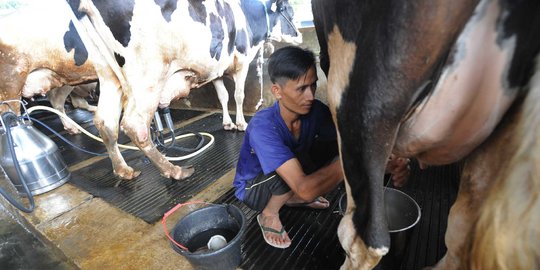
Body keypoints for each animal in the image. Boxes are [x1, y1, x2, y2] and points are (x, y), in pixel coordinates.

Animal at [66, 0, 302, 179]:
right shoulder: (241, 62)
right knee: (134, 124)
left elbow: (223, 96)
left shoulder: (216, 69)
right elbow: (238, 95)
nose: (299, 35)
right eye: (289, 12)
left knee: (105, 121)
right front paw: (241, 123)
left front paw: (227, 123)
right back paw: (174, 170)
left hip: (108, 73)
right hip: (147, 73)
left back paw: (123, 170)